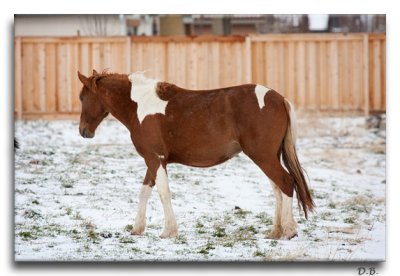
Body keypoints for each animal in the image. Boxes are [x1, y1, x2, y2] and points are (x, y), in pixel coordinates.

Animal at [79, 69, 316, 239]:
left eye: (82, 98)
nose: (83, 131)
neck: (139, 106)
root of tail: (279, 98)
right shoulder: (153, 162)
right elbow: (144, 192)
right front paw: (137, 228)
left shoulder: (155, 159)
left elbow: (163, 193)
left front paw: (168, 231)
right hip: (268, 157)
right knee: (278, 189)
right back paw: (275, 231)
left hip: (263, 157)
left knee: (286, 183)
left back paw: (288, 231)